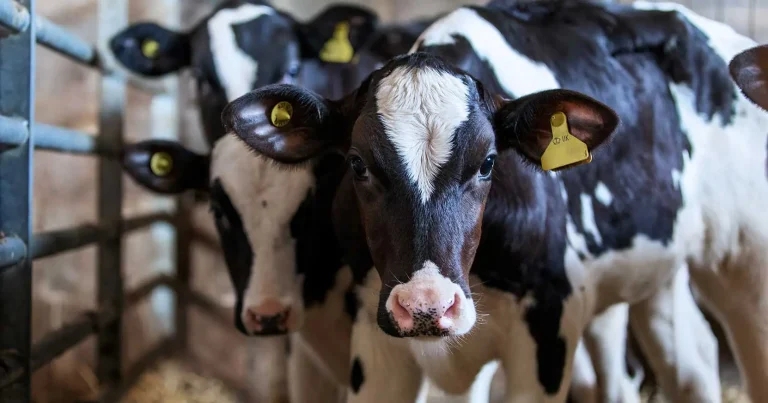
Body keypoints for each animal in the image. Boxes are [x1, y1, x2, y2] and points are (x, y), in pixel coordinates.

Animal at [222, 0, 768, 401]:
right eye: (357, 164)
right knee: (690, 362)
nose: (426, 305)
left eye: (487, 163)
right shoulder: (375, 339)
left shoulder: (548, 326)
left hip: (747, 264)